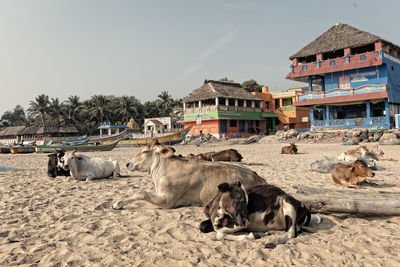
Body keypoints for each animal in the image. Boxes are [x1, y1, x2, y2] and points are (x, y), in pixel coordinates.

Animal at [111, 139, 266, 210]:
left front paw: (118, 203)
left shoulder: (167, 201)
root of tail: (259, 178)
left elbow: (140, 193)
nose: (127, 164)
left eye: (145, 151)